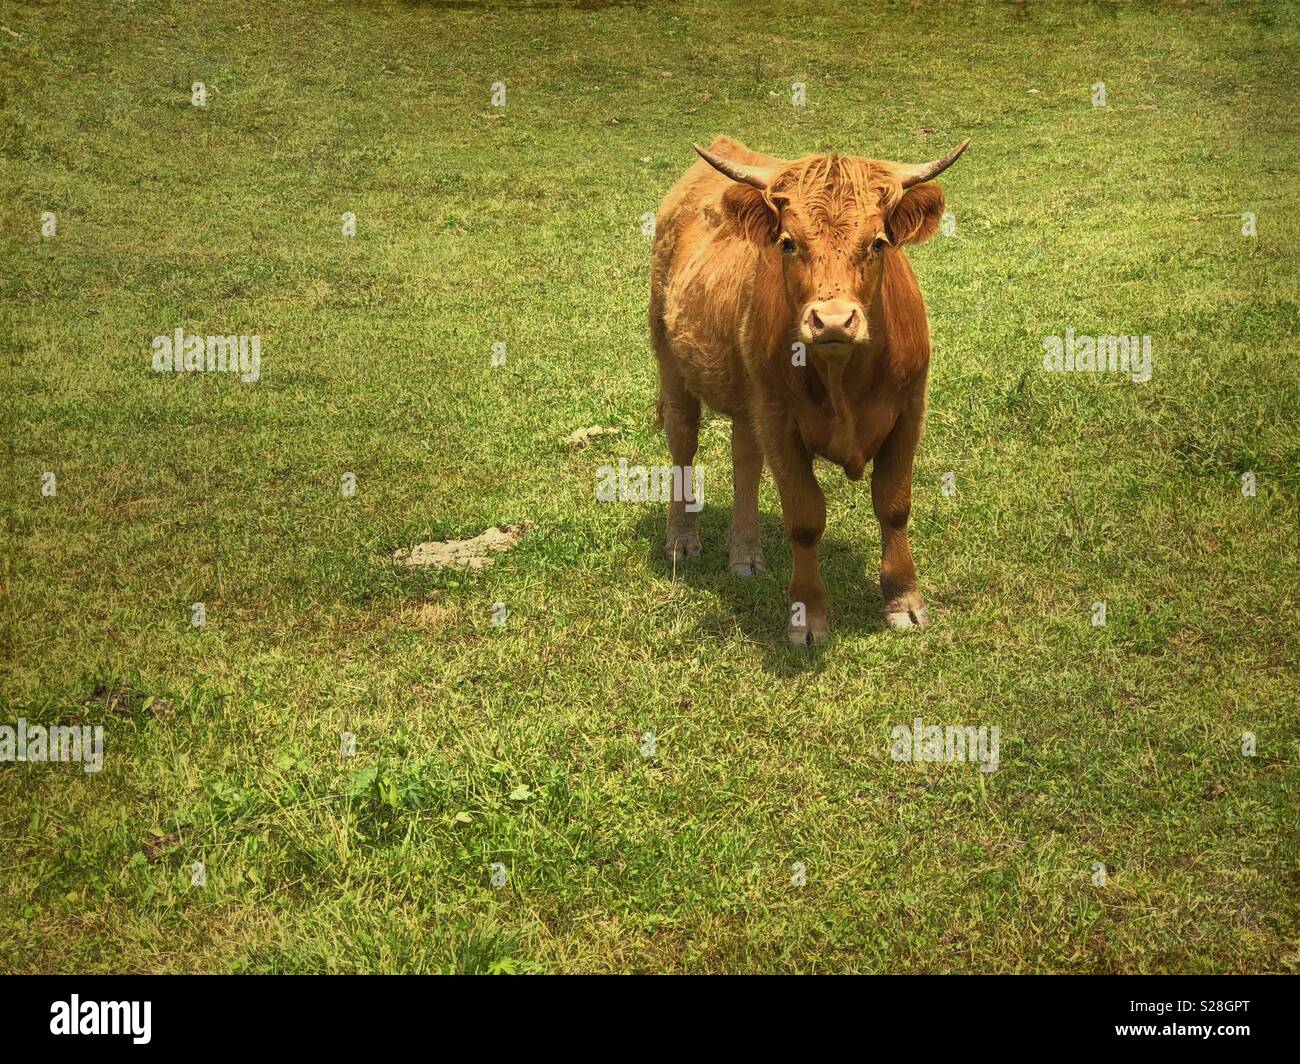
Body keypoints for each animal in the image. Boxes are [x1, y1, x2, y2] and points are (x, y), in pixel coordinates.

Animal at [648, 134, 969, 646]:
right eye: (788, 243)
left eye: (878, 242)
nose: (833, 320)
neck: (842, 378)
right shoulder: (780, 420)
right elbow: (804, 518)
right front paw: (808, 618)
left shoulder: (909, 409)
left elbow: (894, 504)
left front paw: (904, 600)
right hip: (672, 365)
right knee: (682, 443)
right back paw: (682, 540)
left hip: (747, 398)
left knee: (744, 460)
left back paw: (745, 554)